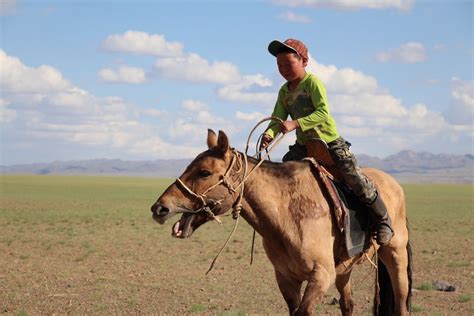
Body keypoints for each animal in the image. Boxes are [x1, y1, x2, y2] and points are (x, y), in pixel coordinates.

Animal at [152, 130, 412, 314]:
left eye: (204, 172)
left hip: (395, 254)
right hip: (345, 268)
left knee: (401, 302)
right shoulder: (286, 278)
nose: (159, 208)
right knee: (348, 304)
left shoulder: (321, 275)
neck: (287, 217)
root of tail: (396, 185)